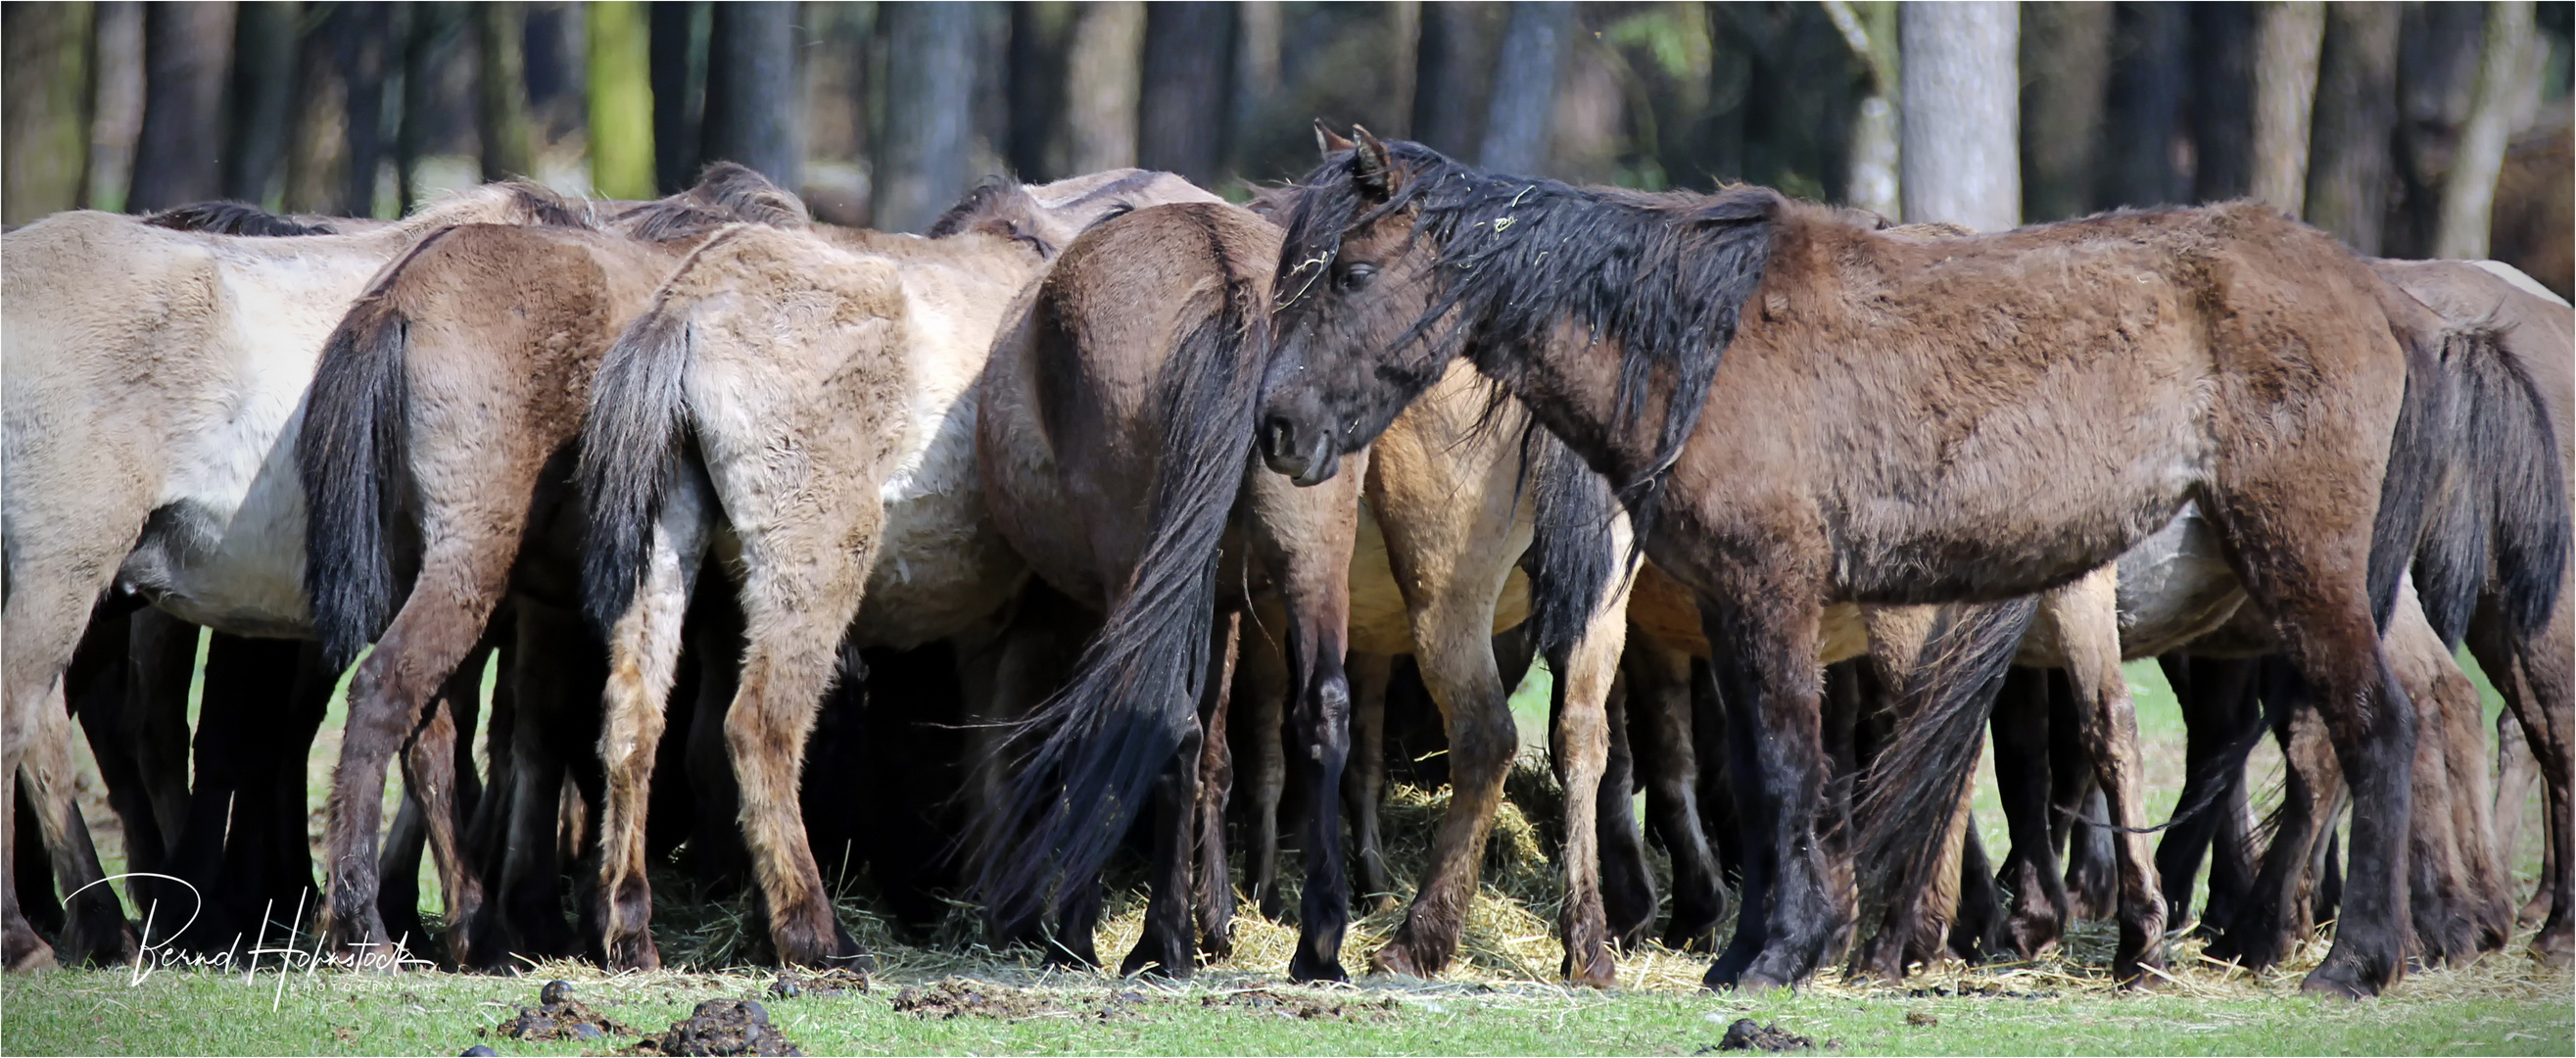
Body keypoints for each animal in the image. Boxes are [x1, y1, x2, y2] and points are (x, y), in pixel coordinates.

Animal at [1252, 132, 2554, 1003]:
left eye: (1351, 275)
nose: (1278, 429)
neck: (1697, 340)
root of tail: (2381, 296)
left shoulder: (1772, 591)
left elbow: (1786, 768)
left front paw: (1780, 952)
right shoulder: (1731, 611)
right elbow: (1764, 773)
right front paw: (1753, 946)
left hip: (2307, 574)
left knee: (2379, 727)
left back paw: (2354, 960)